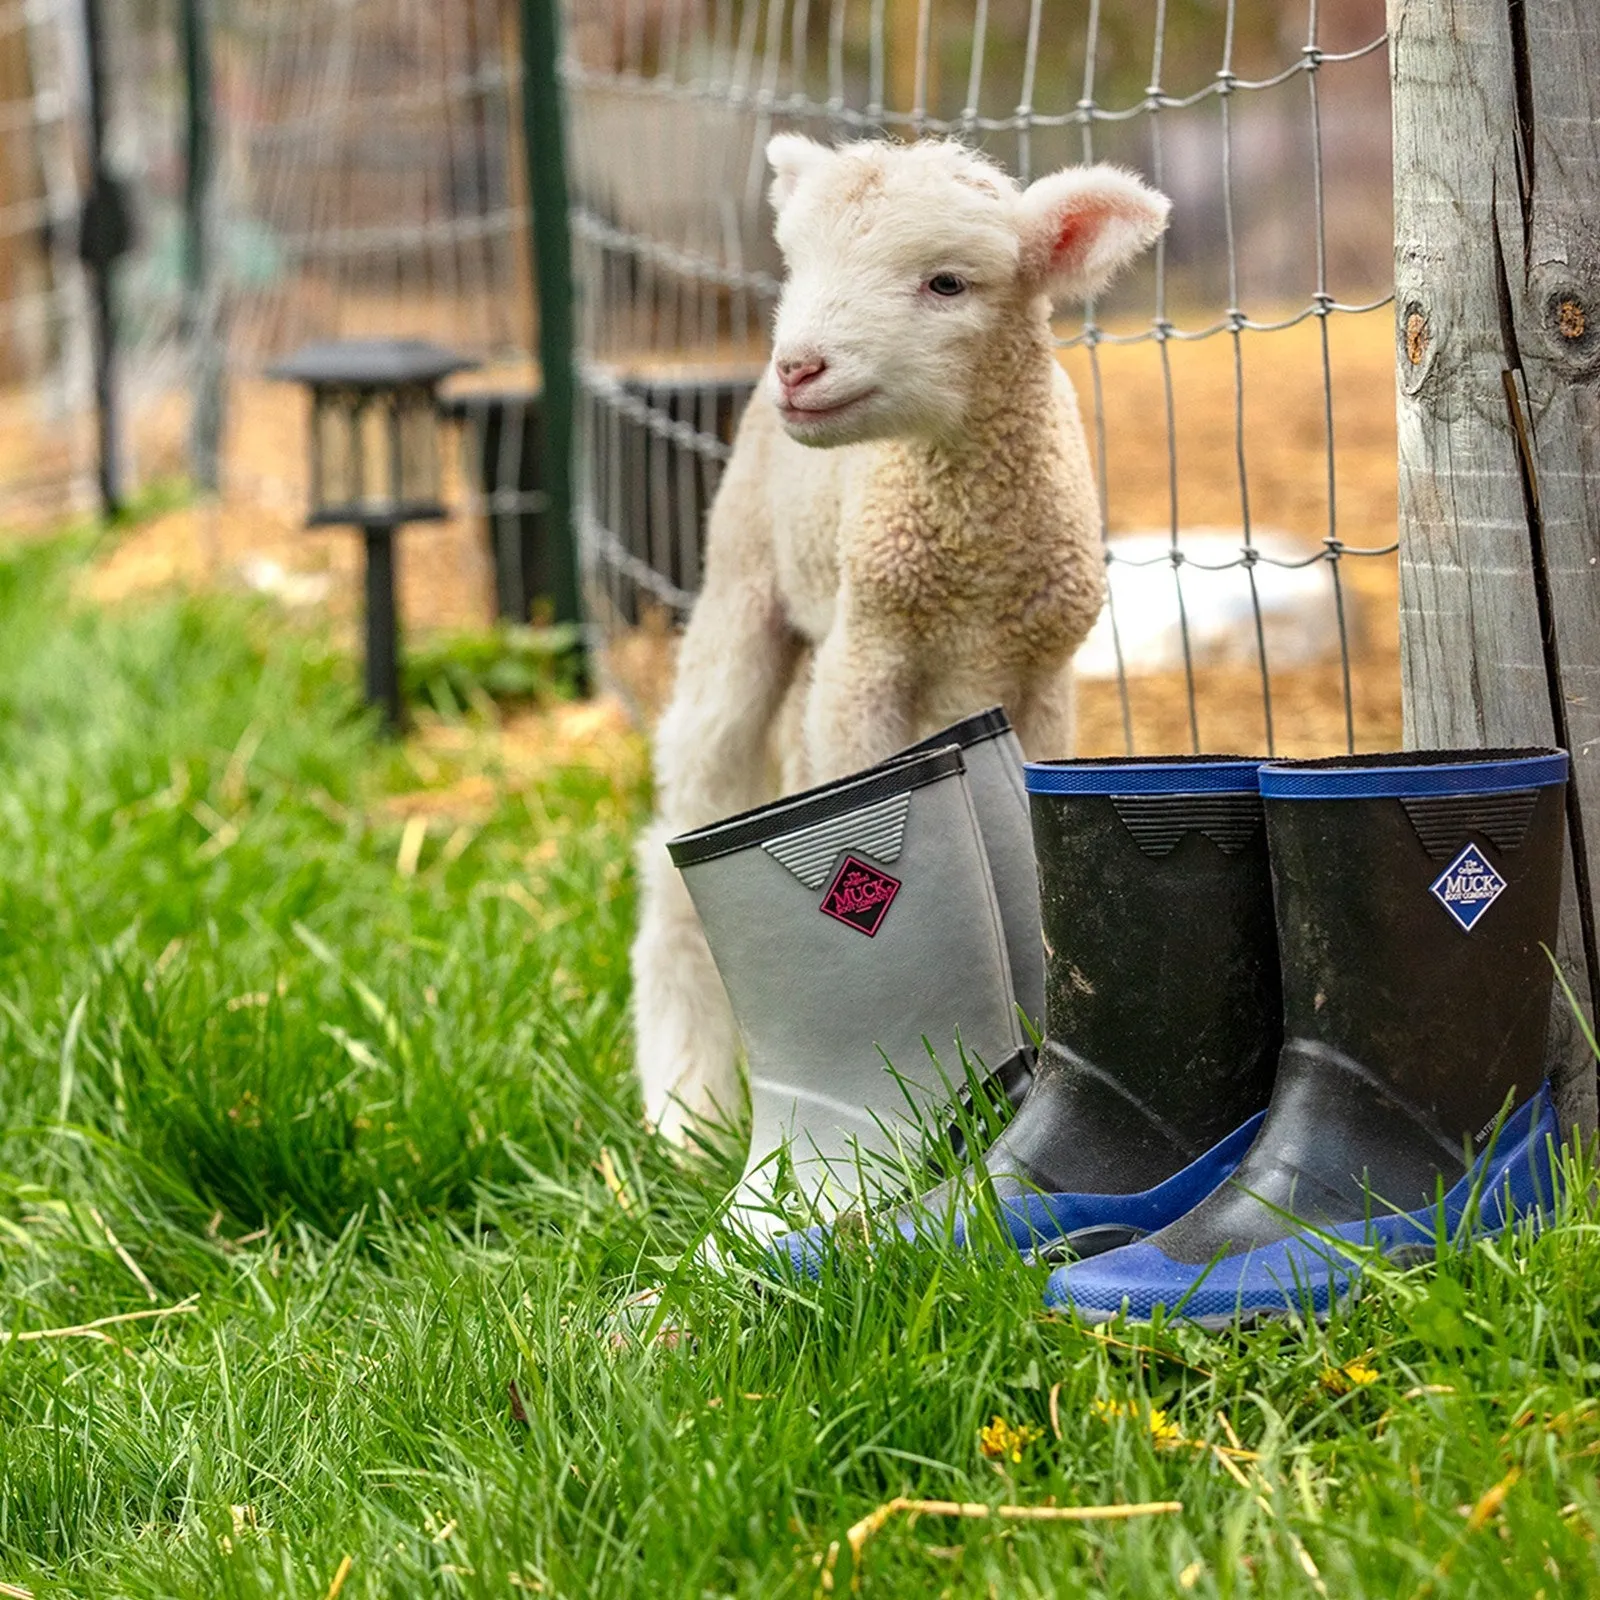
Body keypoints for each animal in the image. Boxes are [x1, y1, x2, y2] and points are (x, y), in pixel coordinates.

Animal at [630, 134, 1171, 1139]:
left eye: (947, 284)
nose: (798, 368)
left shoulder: (1041, 675)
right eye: (799, 265)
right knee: (682, 833)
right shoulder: (868, 656)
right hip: (743, 589)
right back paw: (685, 1106)